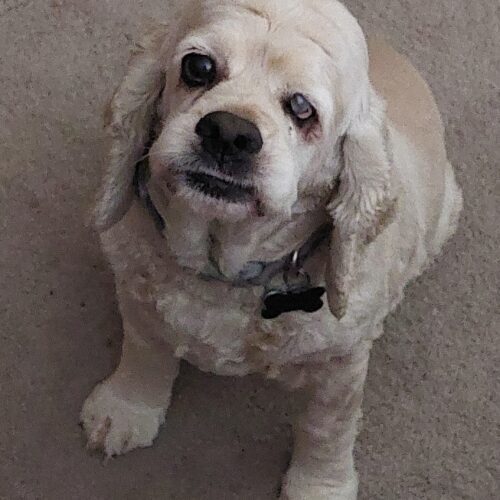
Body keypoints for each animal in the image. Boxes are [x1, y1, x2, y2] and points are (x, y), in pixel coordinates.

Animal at [81, 1, 460, 498]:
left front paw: (320, 487)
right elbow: (144, 348)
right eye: (198, 67)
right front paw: (126, 408)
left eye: (302, 108)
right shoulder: (137, 290)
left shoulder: (341, 365)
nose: (228, 132)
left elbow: (327, 429)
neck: (224, 271)